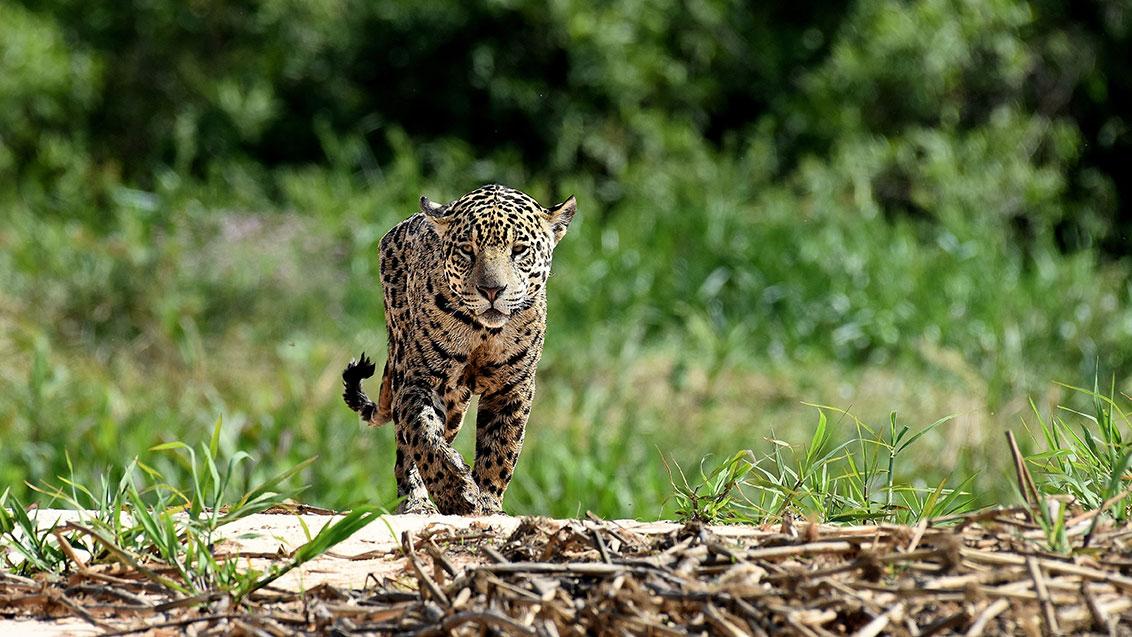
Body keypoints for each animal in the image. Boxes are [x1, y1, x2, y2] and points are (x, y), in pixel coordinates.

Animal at [342, 184, 576, 515]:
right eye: (467, 250)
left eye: (519, 250)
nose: (492, 290)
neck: (484, 332)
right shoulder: (420, 381)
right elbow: (423, 434)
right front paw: (455, 492)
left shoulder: (513, 389)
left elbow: (500, 448)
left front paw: (489, 502)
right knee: (405, 450)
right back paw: (416, 502)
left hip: (454, 405)